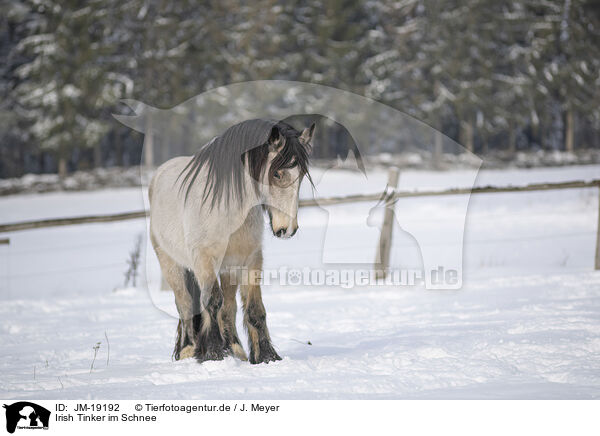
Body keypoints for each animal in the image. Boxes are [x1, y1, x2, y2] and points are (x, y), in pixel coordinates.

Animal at [149, 117, 314, 362]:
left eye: (301, 175)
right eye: (276, 174)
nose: (287, 229)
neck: (228, 206)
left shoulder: (250, 259)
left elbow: (253, 308)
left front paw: (266, 356)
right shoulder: (204, 261)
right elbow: (211, 302)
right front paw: (214, 353)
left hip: (228, 268)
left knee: (228, 307)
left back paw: (235, 349)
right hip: (171, 264)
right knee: (185, 304)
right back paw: (189, 350)